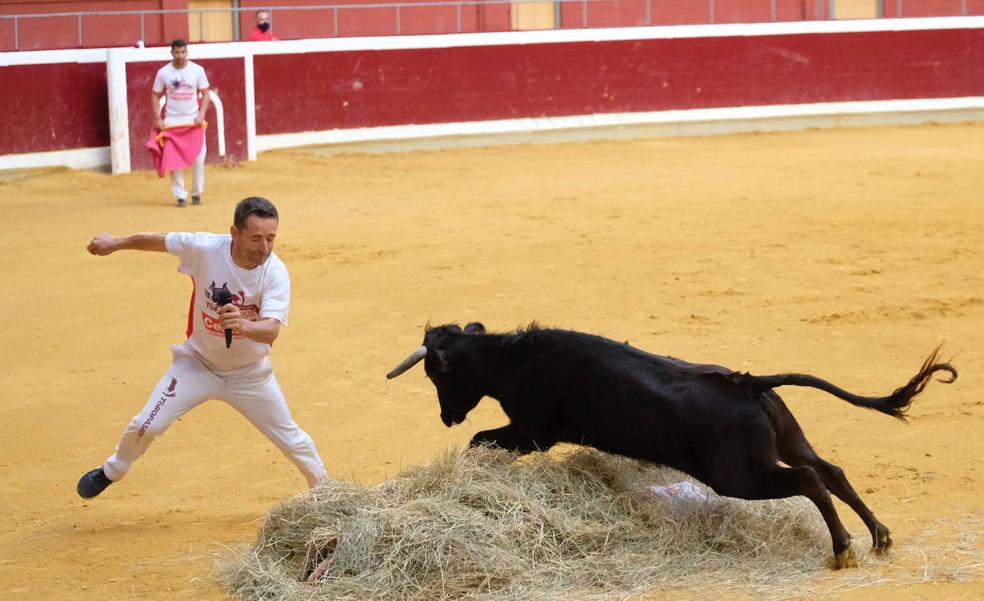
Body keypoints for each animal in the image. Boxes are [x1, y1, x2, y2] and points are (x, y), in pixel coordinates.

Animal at [388, 322, 956, 564]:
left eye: (435, 375)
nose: (446, 417)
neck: (512, 359)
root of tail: (744, 382)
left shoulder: (530, 433)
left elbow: (482, 440)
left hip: (740, 475)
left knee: (810, 480)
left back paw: (842, 550)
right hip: (787, 441)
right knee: (829, 471)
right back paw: (879, 536)